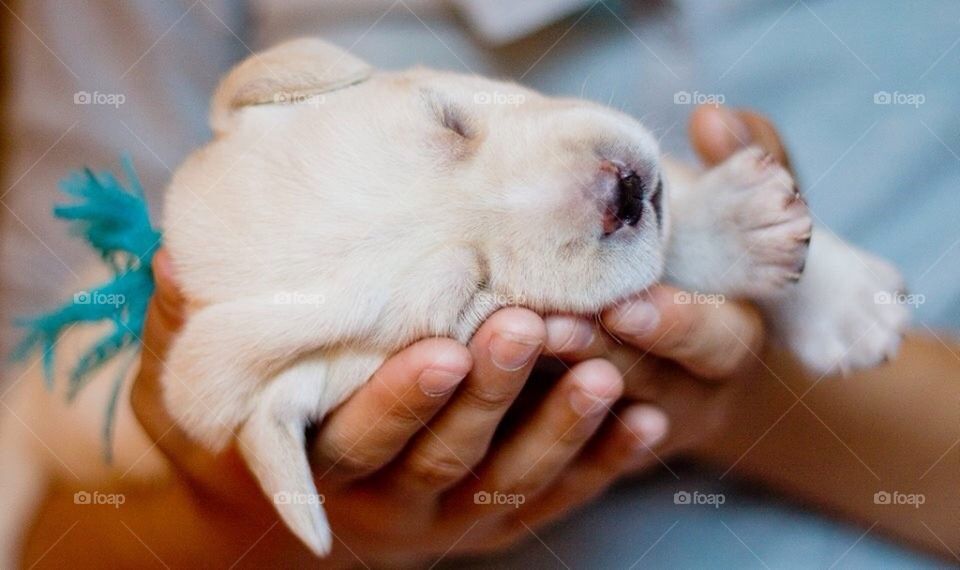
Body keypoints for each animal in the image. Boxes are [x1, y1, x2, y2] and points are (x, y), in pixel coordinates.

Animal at [0, 37, 908, 560]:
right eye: (471, 296)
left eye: (451, 122)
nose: (619, 192)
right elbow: (660, 261)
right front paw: (743, 239)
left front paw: (835, 289)